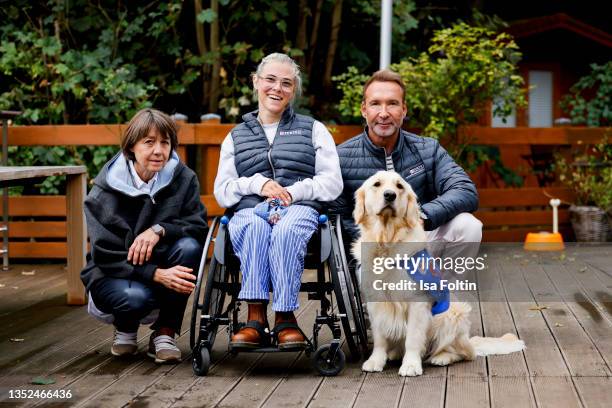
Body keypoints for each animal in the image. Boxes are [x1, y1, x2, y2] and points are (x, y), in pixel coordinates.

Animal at [354, 170, 524, 376]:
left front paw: (411, 365)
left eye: (399, 186)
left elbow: (413, 338)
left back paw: (441, 358)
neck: (387, 242)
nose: (390, 195)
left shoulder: (417, 303)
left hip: (453, 315)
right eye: (377, 184)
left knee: (463, 353)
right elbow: (379, 337)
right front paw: (376, 360)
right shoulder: (375, 301)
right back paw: (394, 353)